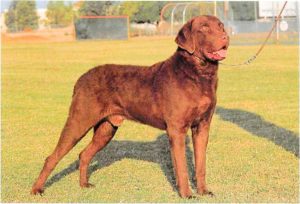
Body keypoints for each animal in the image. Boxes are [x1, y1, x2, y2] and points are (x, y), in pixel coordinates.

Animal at [31, 15, 230, 198]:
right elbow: (181, 168)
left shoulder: (202, 127)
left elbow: (200, 164)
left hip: (106, 128)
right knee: (52, 157)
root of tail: (81, 79)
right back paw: (37, 190)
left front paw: (204, 191)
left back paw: (84, 184)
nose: (225, 36)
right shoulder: (177, 129)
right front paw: (187, 195)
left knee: (84, 154)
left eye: (221, 25)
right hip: (79, 120)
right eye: (204, 28)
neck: (199, 74)